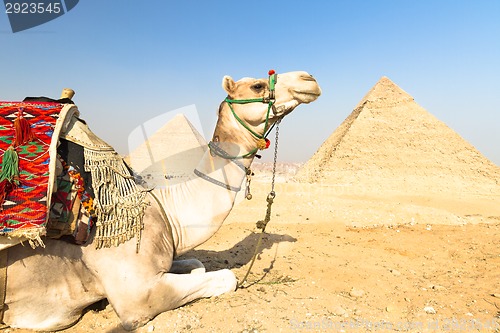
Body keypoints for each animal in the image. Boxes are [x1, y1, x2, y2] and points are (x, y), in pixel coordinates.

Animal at [0, 70, 320, 330]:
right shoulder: (137, 296)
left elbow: (197, 263)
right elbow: (227, 277)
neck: (164, 209)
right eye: (257, 85)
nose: (309, 79)